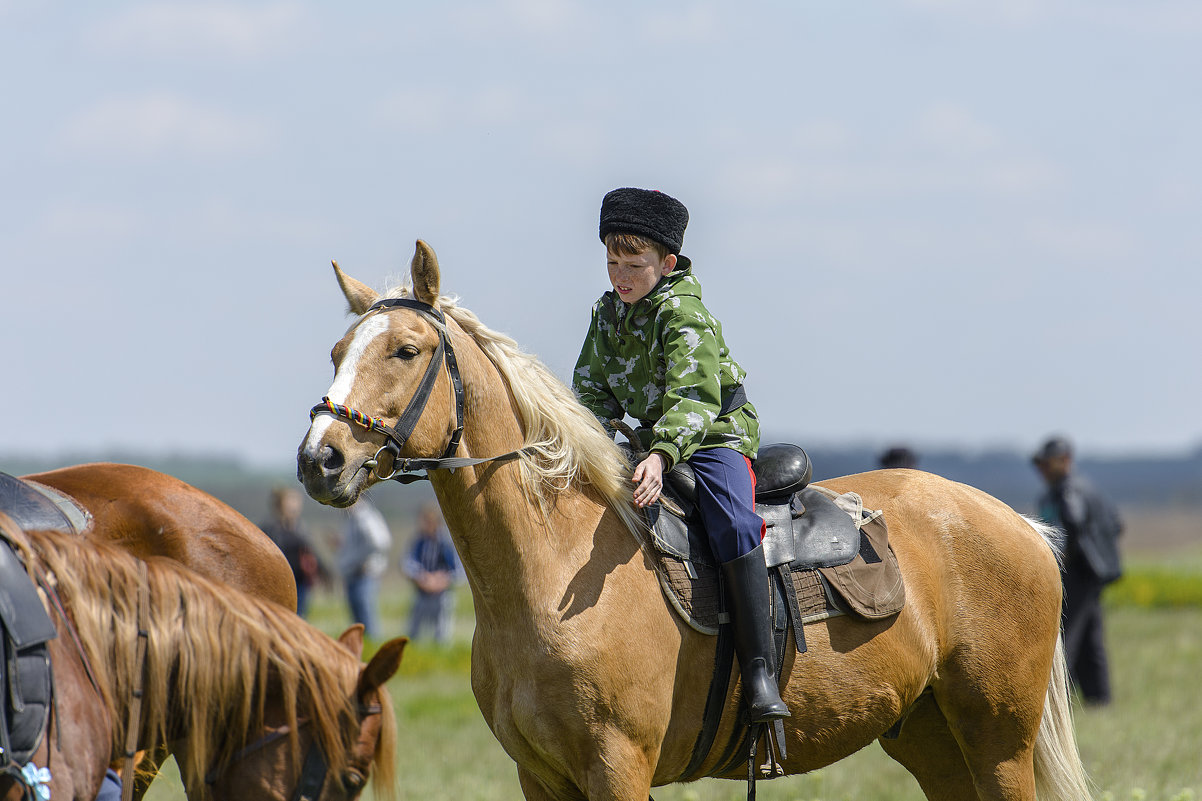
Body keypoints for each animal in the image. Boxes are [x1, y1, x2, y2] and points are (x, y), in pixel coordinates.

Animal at [295, 240, 1096, 798]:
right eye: (336, 351)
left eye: (406, 350)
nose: (319, 460)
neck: (546, 572)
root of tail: (1020, 525)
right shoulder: (541, 776)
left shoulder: (618, 768)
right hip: (931, 739)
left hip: (998, 740)